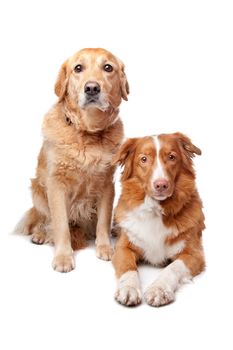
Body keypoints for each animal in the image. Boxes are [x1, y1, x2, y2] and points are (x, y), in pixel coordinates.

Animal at [15, 48, 129, 274]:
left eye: (108, 67)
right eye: (78, 68)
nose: (92, 88)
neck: (87, 133)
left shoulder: (107, 184)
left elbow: (103, 220)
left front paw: (104, 247)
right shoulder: (56, 185)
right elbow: (60, 225)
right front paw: (63, 257)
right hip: (37, 191)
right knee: (43, 219)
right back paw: (40, 234)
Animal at [112, 133, 205, 306]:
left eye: (171, 157)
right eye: (143, 159)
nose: (161, 185)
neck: (155, 210)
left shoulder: (194, 254)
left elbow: (172, 268)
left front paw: (159, 289)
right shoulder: (123, 248)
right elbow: (128, 268)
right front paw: (128, 288)